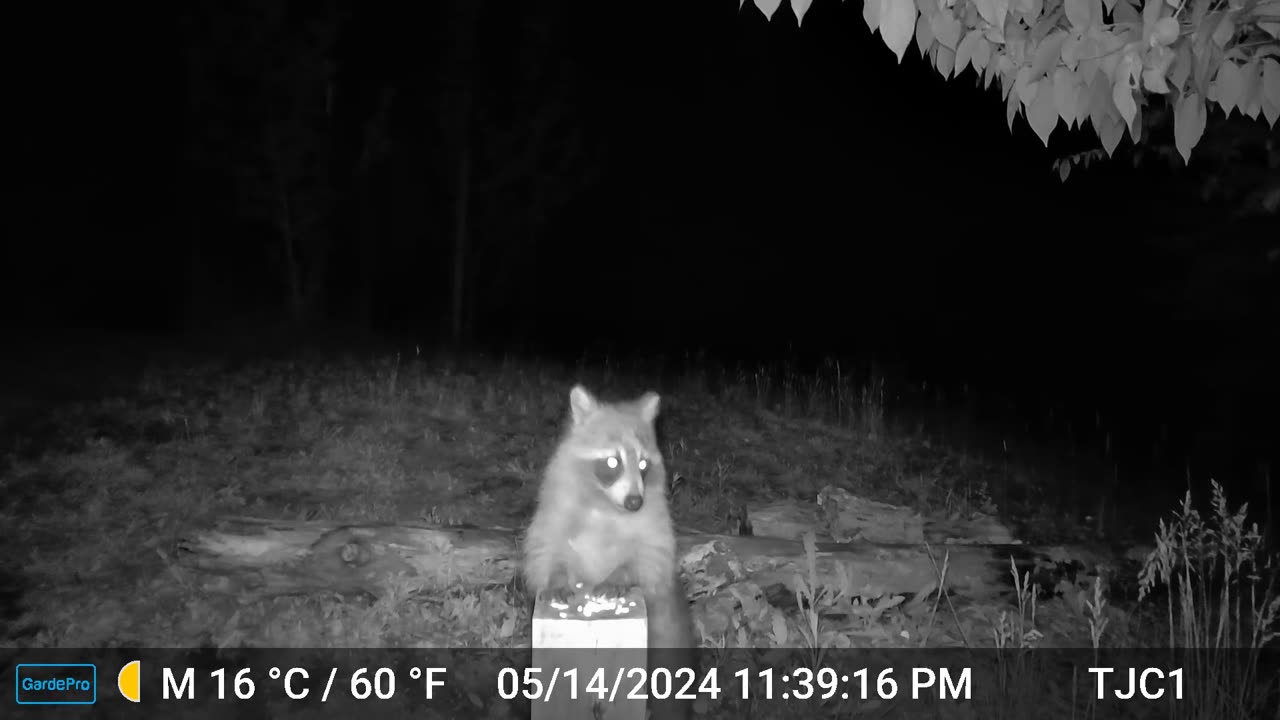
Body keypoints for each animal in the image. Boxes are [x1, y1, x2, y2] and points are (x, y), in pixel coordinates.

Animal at [522, 381, 696, 712]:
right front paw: (556, 576)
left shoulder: (654, 519)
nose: (635, 502)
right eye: (613, 462)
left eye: (643, 464)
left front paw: (621, 574)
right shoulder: (556, 507)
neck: (605, 504)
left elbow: (652, 558)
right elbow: (543, 550)